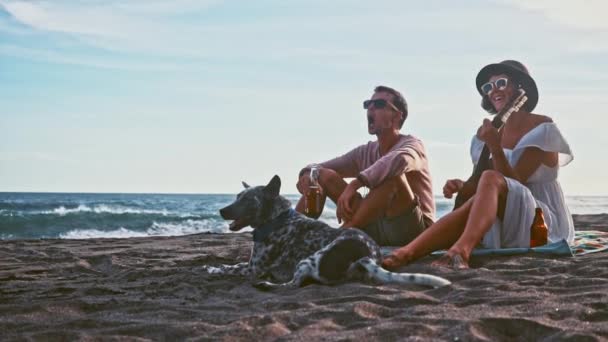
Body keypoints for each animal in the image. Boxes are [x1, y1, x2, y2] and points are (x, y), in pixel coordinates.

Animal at [204, 175, 452, 290]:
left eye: (247, 200)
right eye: (237, 197)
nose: (222, 210)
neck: (277, 218)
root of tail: (367, 256)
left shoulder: (254, 268)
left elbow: (230, 267)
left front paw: (213, 268)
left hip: (308, 259)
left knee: (293, 285)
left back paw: (268, 285)